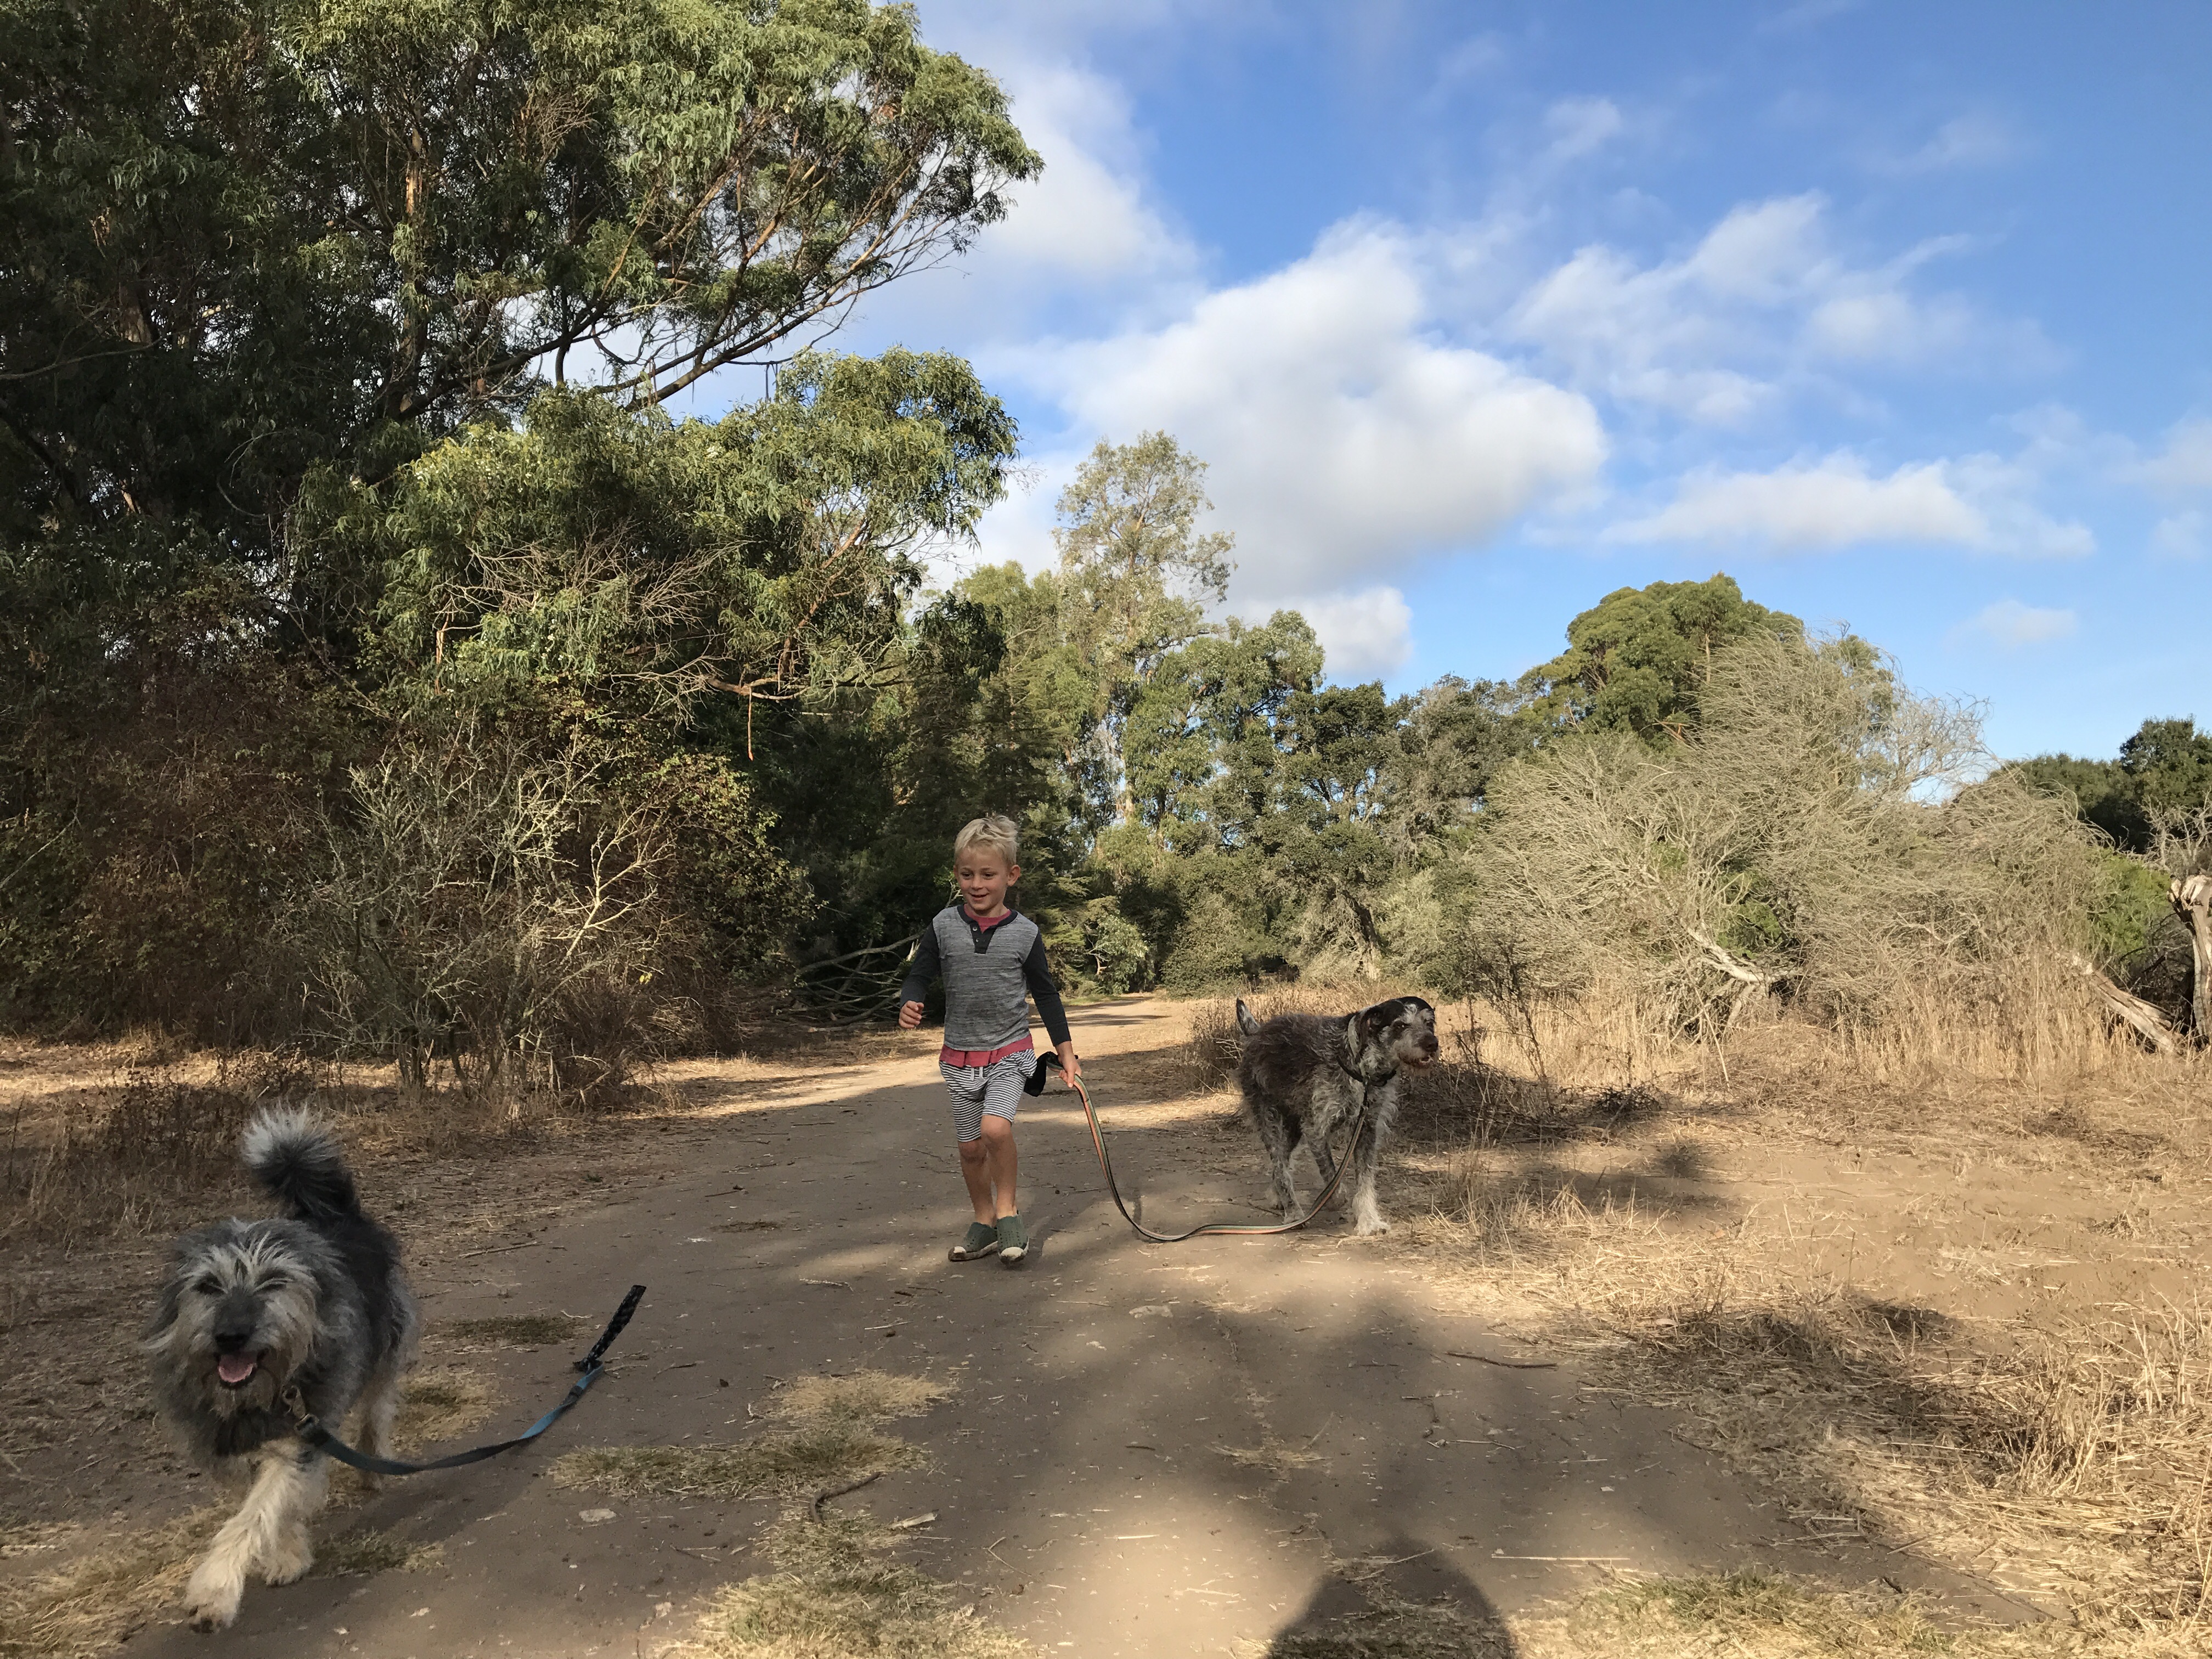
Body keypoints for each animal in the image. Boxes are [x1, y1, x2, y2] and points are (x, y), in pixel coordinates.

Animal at [144, 1108, 418, 1631]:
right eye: (208, 1286)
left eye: (273, 1281)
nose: (231, 1335)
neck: (254, 1396)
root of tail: (332, 1214)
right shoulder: (227, 1449)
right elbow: (264, 1506)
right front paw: (288, 1553)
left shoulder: (298, 1434)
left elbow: (255, 1514)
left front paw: (214, 1590)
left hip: (385, 1345)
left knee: (378, 1405)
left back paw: (374, 1460)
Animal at [1235, 995, 1439, 1235]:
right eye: (1400, 1025)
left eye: (1429, 1023)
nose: (1431, 1044)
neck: (1360, 1067)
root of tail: (1256, 1033)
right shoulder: (1316, 1130)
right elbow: (1332, 1176)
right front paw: (1336, 1200)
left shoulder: (1367, 1130)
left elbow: (1365, 1181)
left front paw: (1369, 1220)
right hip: (1270, 1120)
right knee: (1279, 1166)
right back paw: (1294, 1213)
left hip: (1294, 1129)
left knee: (1282, 1163)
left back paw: (1278, 1198)